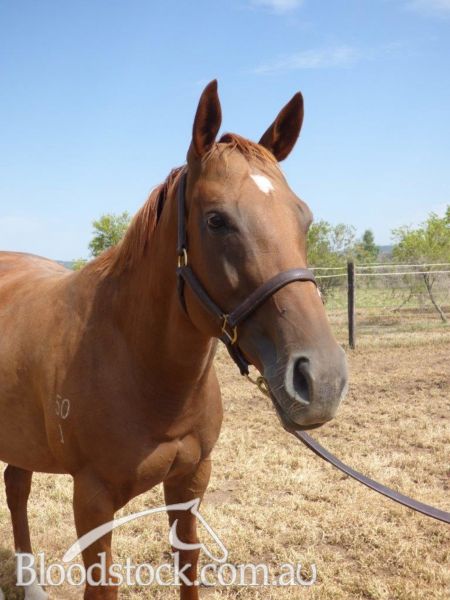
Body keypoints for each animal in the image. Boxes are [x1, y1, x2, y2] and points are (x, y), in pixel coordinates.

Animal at [0, 80, 348, 599]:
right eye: (216, 220)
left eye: (303, 218)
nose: (321, 379)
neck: (135, 362)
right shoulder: (92, 501)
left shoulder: (190, 480)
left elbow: (188, 567)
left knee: (16, 482)